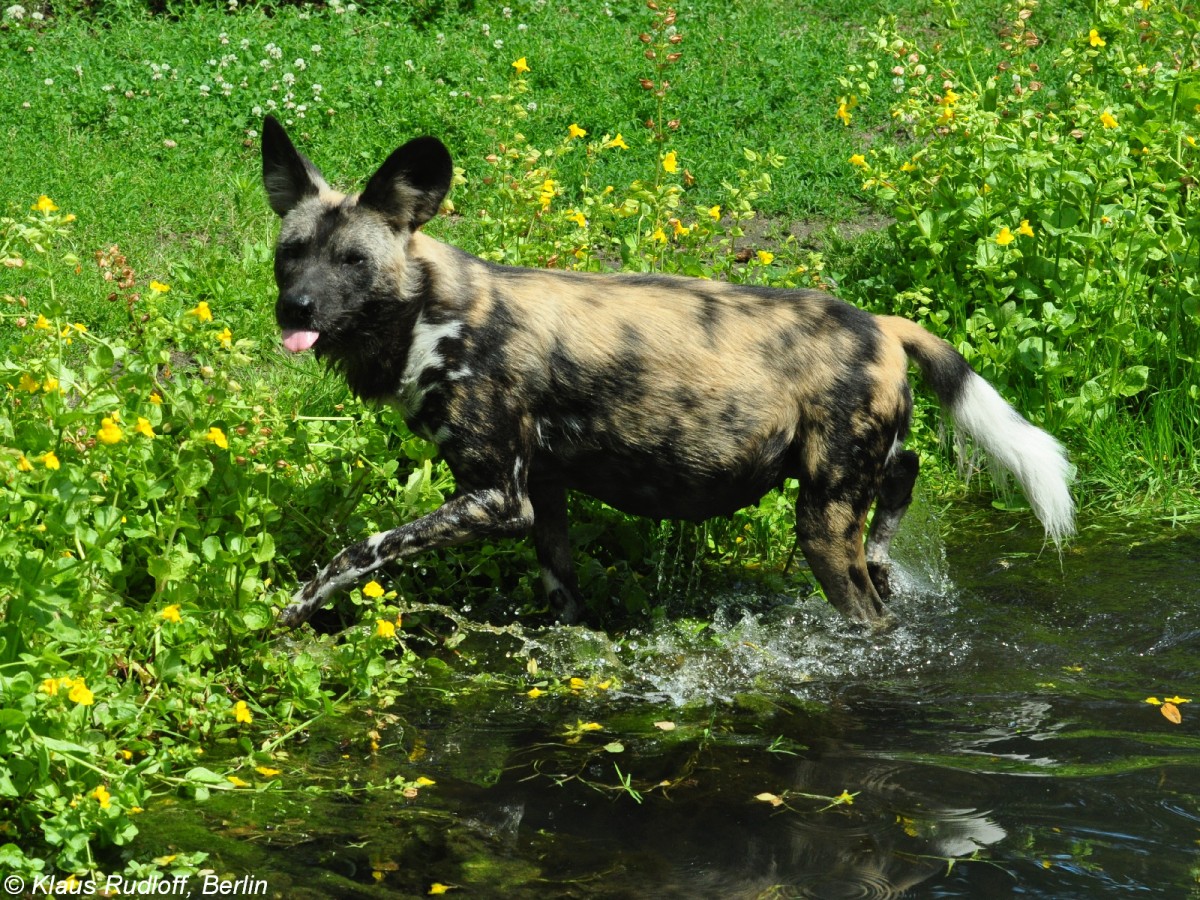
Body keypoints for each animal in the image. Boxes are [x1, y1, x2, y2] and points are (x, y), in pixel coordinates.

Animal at [262, 116, 1080, 628]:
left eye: (352, 261)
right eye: (290, 255)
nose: (293, 307)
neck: (434, 316)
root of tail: (881, 321)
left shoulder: (494, 498)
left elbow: (360, 550)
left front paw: (295, 610)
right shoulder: (542, 493)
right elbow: (563, 593)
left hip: (821, 525)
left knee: (870, 612)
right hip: (852, 472)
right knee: (903, 475)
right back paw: (884, 559)